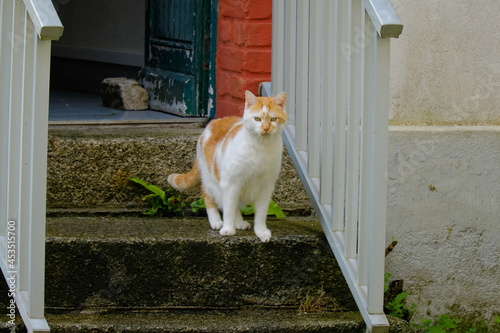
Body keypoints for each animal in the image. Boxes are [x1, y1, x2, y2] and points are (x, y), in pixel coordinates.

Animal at [167, 91, 288, 241]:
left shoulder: (265, 187)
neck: (260, 147)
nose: (266, 128)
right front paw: (228, 228)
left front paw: (261, 231)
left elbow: (261, 212)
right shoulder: (231, 182)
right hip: (212, 181)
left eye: (273, 119)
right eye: (257, 119)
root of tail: (213, 122)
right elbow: (229, 208)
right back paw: (216, 221)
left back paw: (240, 222)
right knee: (210, 197)